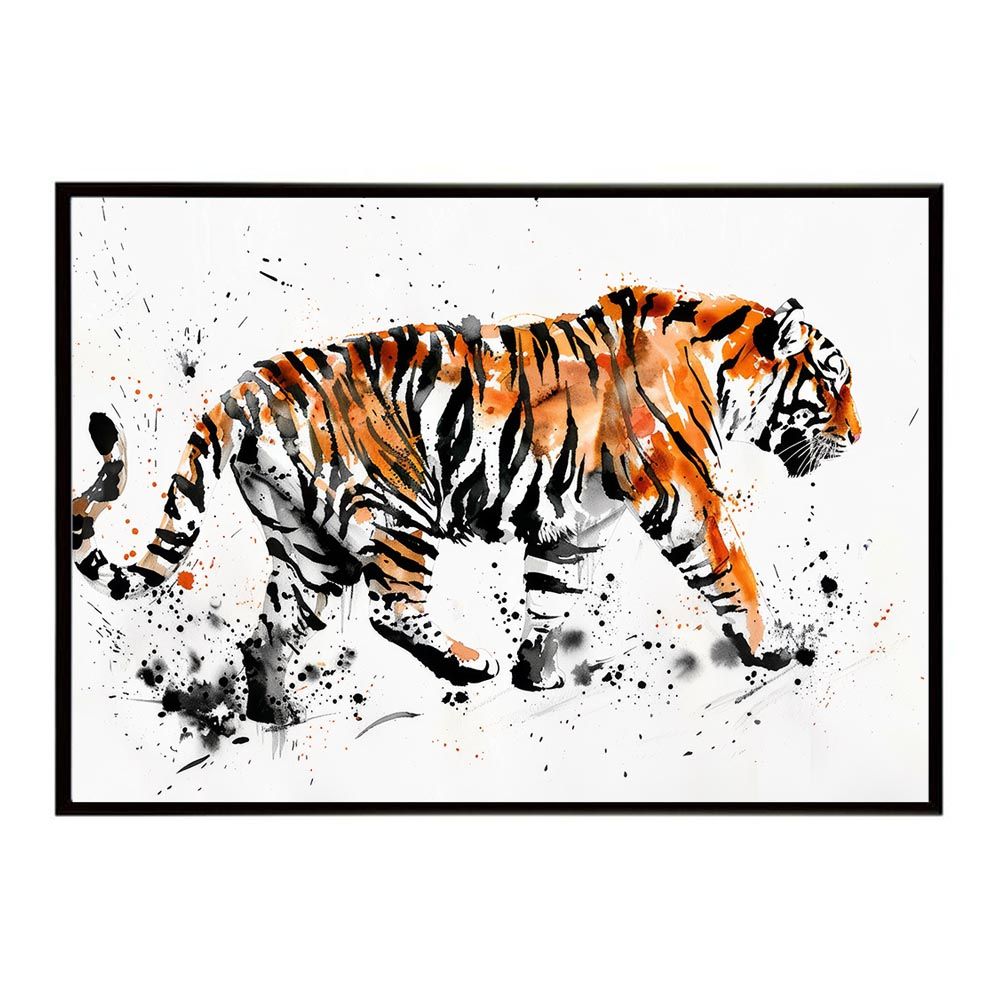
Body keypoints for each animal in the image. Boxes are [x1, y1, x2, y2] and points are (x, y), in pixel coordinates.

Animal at [72, 285, 861, 725]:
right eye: (832, 380)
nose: (858, 436)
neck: (725, 370)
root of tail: (244, 389)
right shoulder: (687, 495)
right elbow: (736, 571)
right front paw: (771, 645)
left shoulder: (569, 530)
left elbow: (549, 598)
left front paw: (537, 674)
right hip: (394, 509)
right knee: (393, 609)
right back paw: (464, 664)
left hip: (308, 549)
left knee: (263, 632)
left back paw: (275, 713)